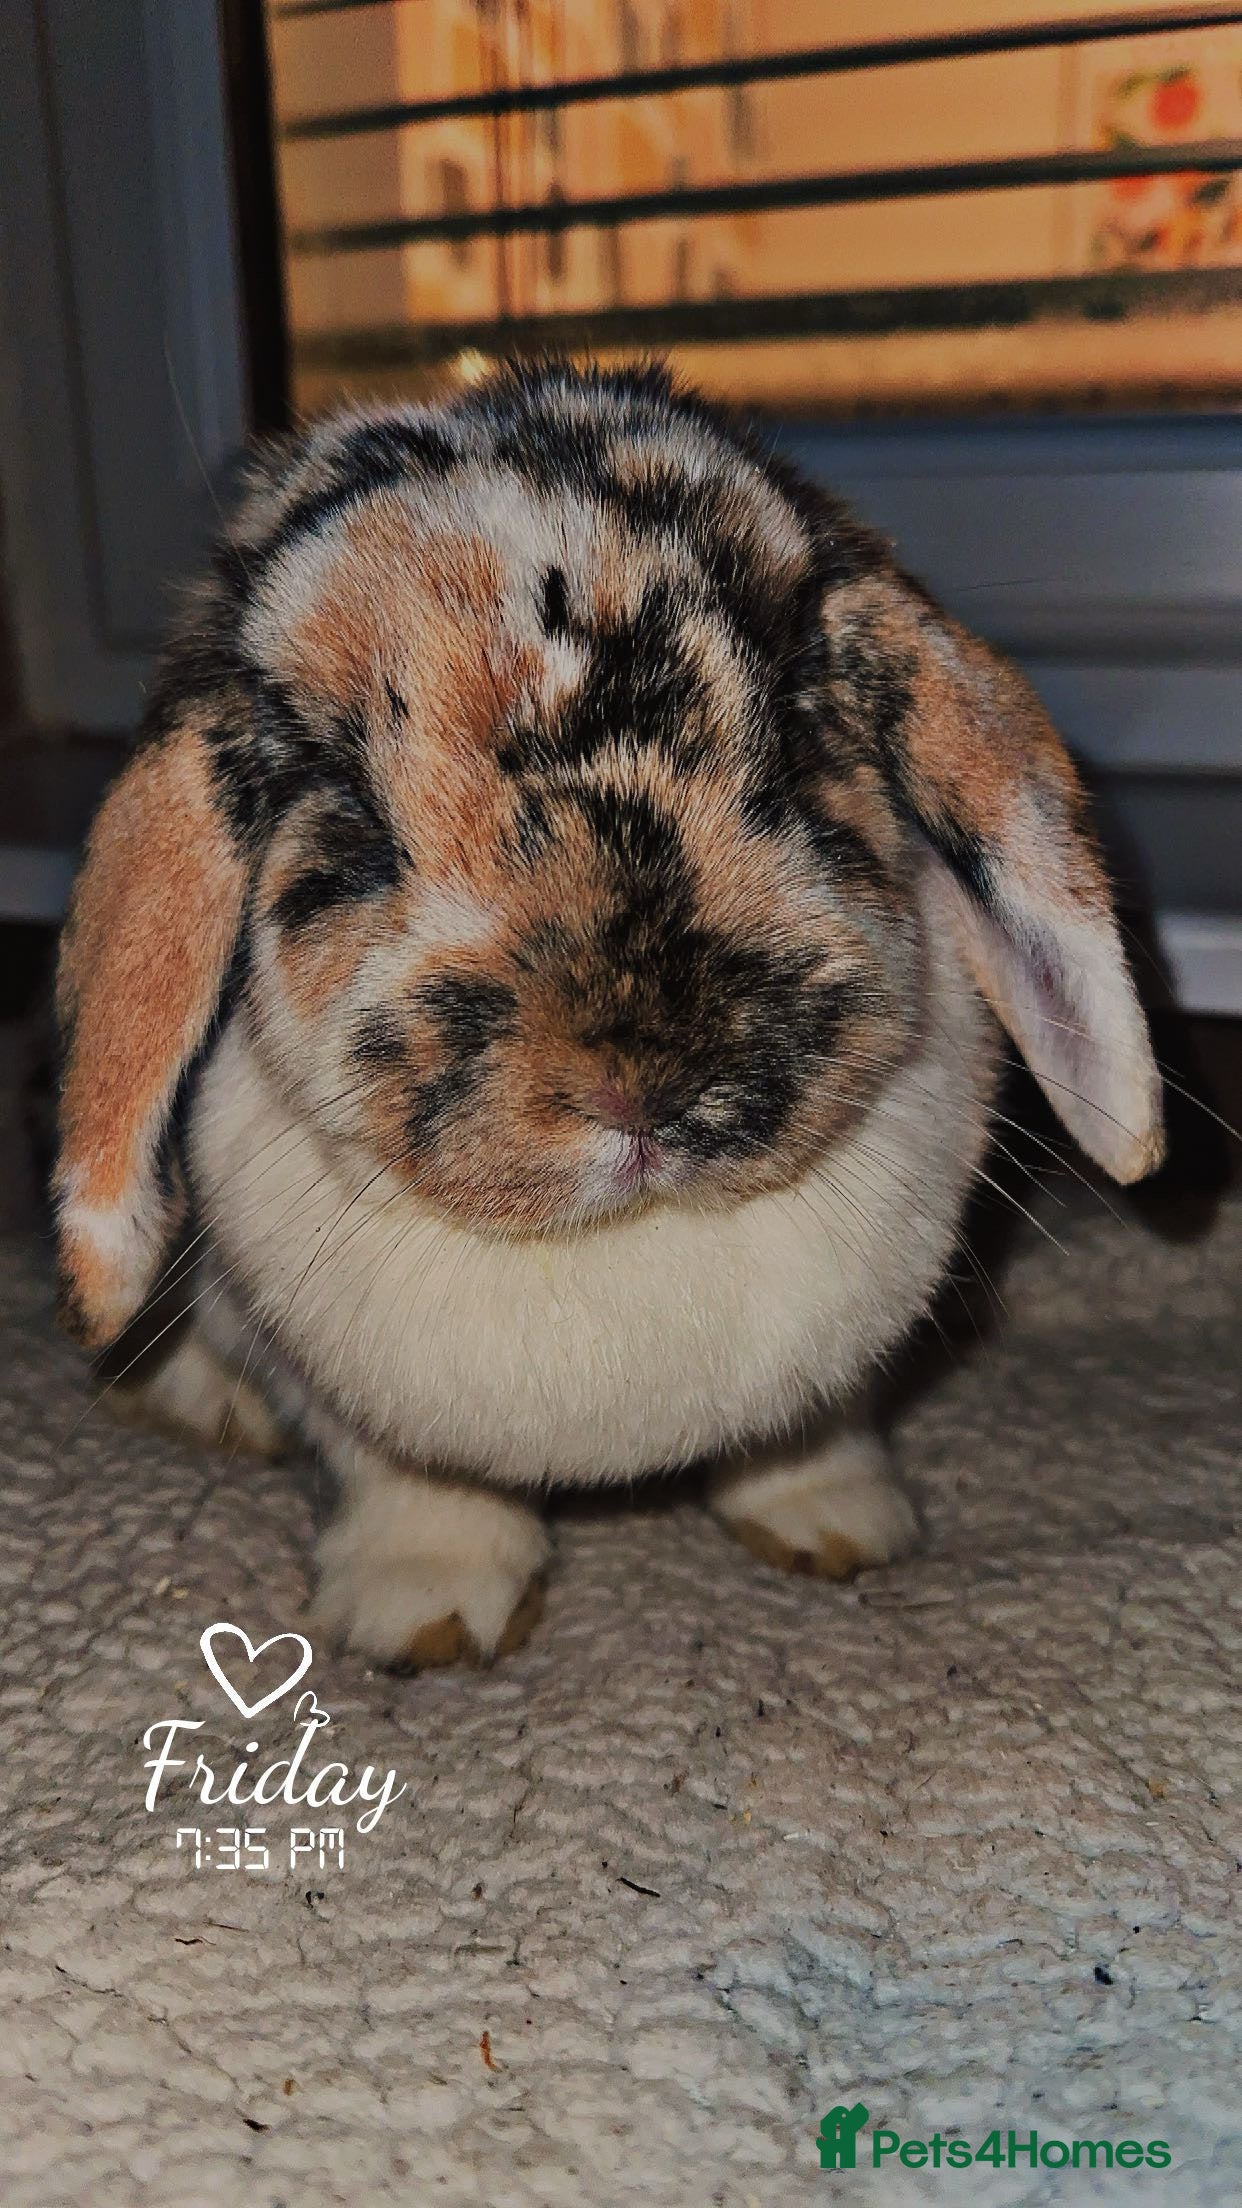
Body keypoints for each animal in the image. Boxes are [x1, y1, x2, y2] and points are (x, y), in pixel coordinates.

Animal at [53, 359, 1165, 1668]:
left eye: (796, 739)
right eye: (354, 824)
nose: (636, 1077)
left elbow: (808, 1441)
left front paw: (843, 1533)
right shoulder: (361, 1399)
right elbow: (410, 1479)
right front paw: (427, 1617)